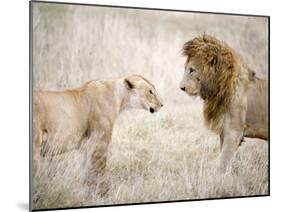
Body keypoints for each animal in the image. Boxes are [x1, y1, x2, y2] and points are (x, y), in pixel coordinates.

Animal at [33, 74, 163, 190]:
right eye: (150, 91)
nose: (161, 104)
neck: (119, 98)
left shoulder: (86, 146)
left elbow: (86, 172)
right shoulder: (100, 143)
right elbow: (99, 172)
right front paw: (103, 192)